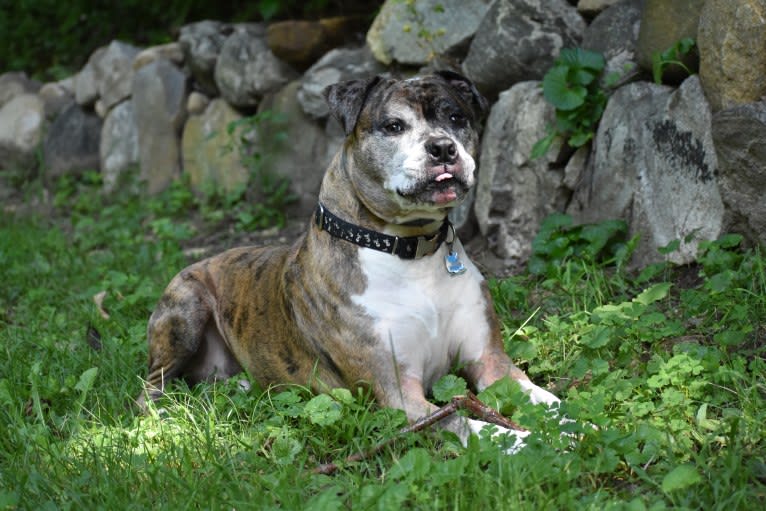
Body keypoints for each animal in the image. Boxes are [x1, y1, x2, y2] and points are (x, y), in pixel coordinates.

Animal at [140, 71, 560, 448]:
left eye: (456, 117)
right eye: (393, 126)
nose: (442, 148)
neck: (411, 250)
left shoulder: (491, 362)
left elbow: (548, 402)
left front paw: (572, 431)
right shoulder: (399, 396)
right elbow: (471, 424)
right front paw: (531, 444)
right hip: (185, 311)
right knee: (151, 386)